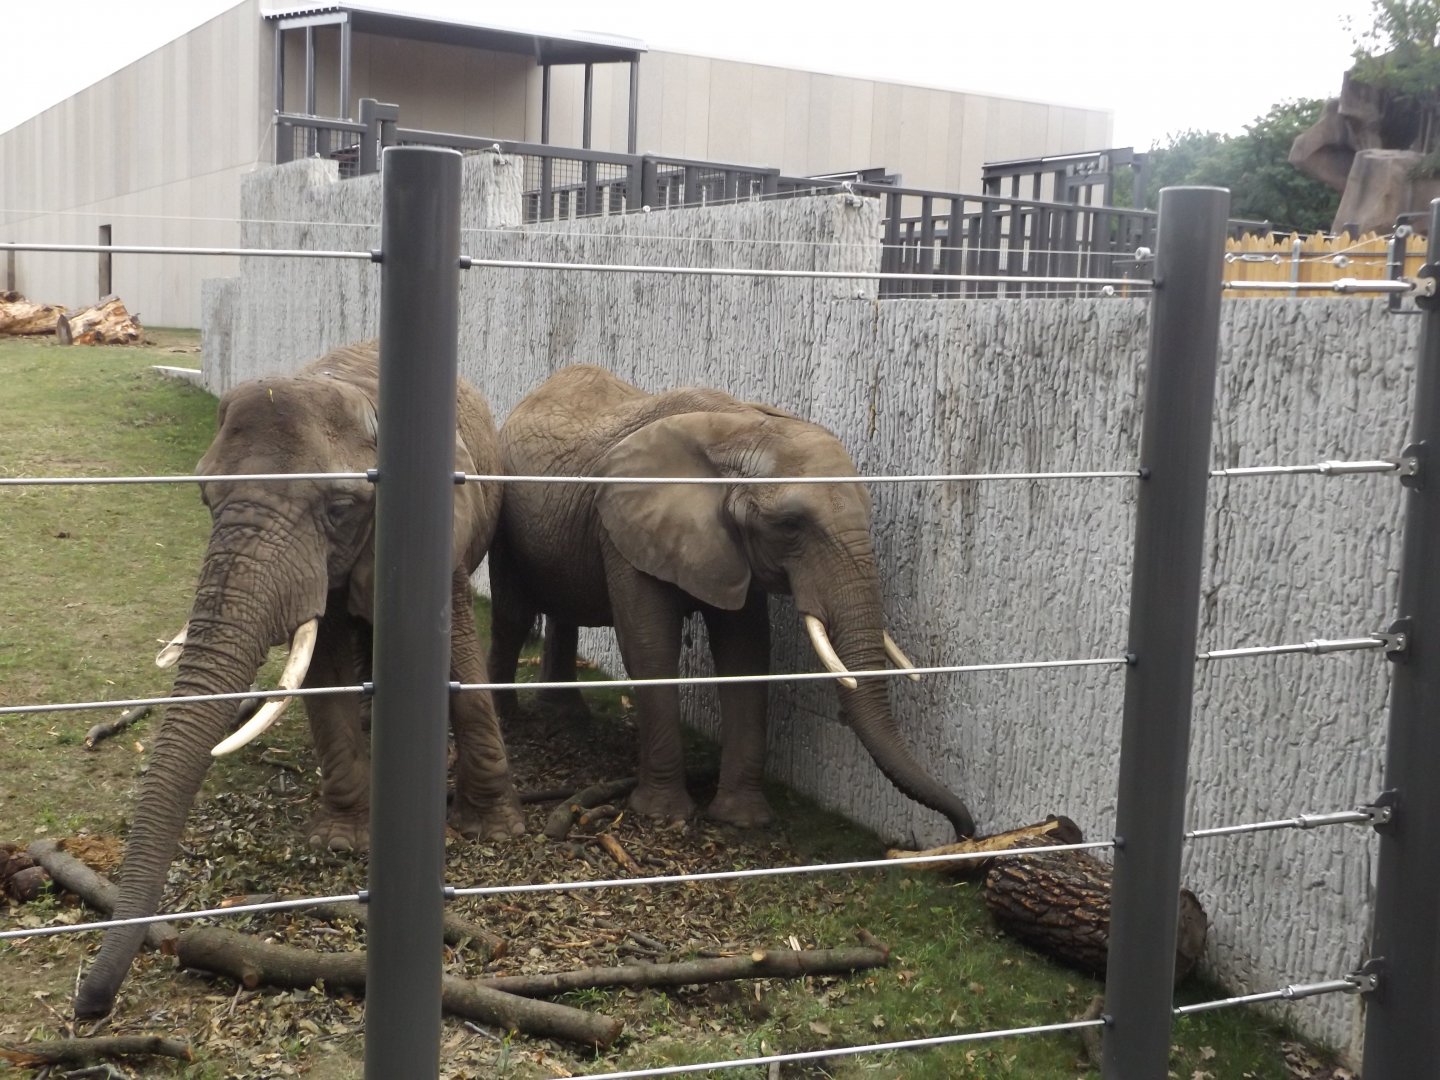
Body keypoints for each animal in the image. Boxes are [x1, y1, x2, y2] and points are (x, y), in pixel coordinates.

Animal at [74, 341, 525, 1019]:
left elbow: (460, 658)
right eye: (206, 498)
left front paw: (493, 832)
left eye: (338, 509)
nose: (90, 1003)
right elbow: (326, 669)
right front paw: (341, 844)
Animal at [487, 364, 975, 840]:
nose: (965, 831)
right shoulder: (625, 528)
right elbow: (650, 648)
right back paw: (509, 719)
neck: (742, 430)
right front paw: (664, 816)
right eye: (790, 524)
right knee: (513, 615)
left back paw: (568, 717)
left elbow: (745, 653)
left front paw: (743, 820)